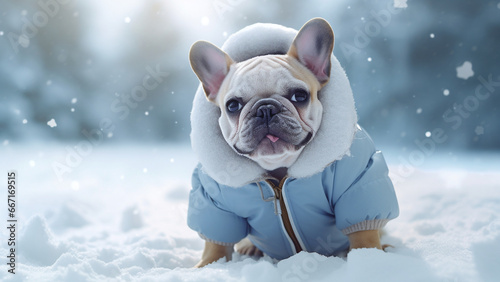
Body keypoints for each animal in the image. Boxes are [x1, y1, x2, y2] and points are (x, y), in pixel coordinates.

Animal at [187, 18, 398, 268]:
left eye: (300, 96)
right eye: (232, 106)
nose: (265, 108)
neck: (278, 170)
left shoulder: (356, 185)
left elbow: (362, 232)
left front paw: (369, 260)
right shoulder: (214, 201)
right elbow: (216, 242)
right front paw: (208, 265)